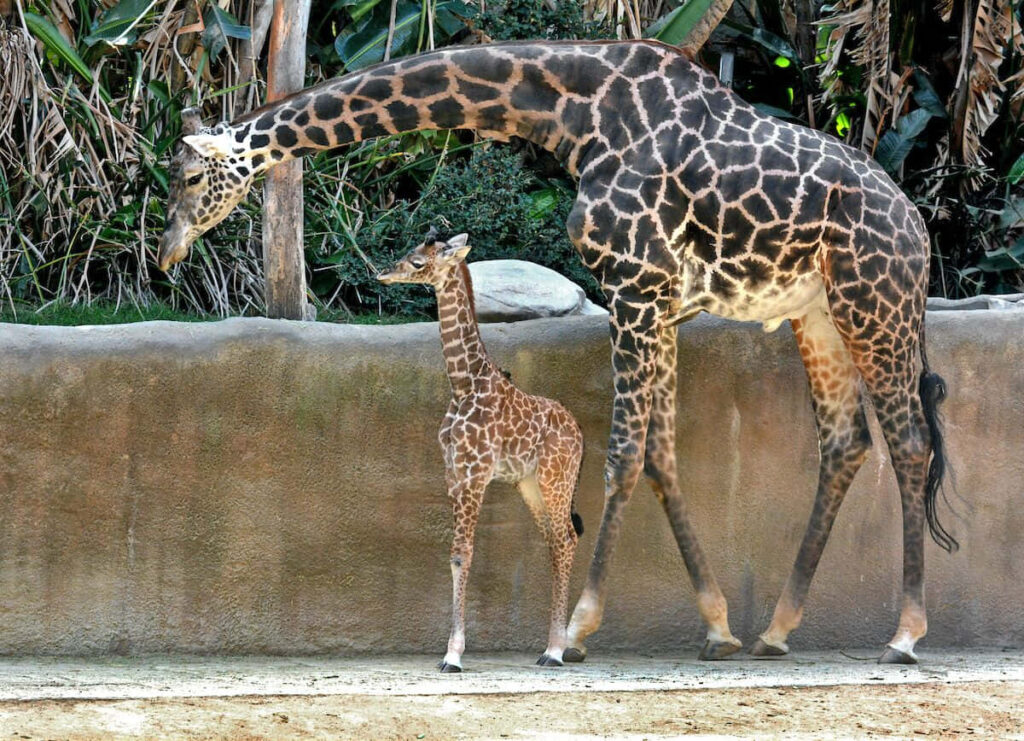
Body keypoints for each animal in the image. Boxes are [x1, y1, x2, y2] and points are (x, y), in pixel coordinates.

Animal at [377, 229, 585, 672]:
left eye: (418, 262)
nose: (383, 272)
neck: (463, 384)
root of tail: (580, 432)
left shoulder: (475, 473)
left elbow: (463, 554)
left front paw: (453, 655)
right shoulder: (453, 471)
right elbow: (455, 555)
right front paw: (450, 650)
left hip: (555, 478)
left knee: (565, 539)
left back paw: (555, 650)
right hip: (530, 484)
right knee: (556, 541)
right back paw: (552, 646)